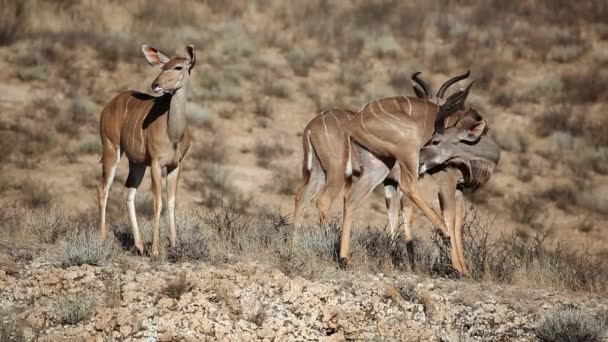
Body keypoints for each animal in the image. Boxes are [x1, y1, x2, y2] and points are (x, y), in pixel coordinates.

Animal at [98, 44, 195, 255]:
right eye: (163, 66)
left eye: (178, 67)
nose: (155, 85)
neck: (173, 133)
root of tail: (108, 107)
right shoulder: (157, 163)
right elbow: (158, 203)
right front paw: (156, 250)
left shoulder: (176, 165)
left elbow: (171, 202)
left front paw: (175, 244)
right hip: (111, 149)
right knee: (103, 188)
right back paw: (101, 240)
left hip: (137, 163)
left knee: (127, 192)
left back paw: (140, 244)